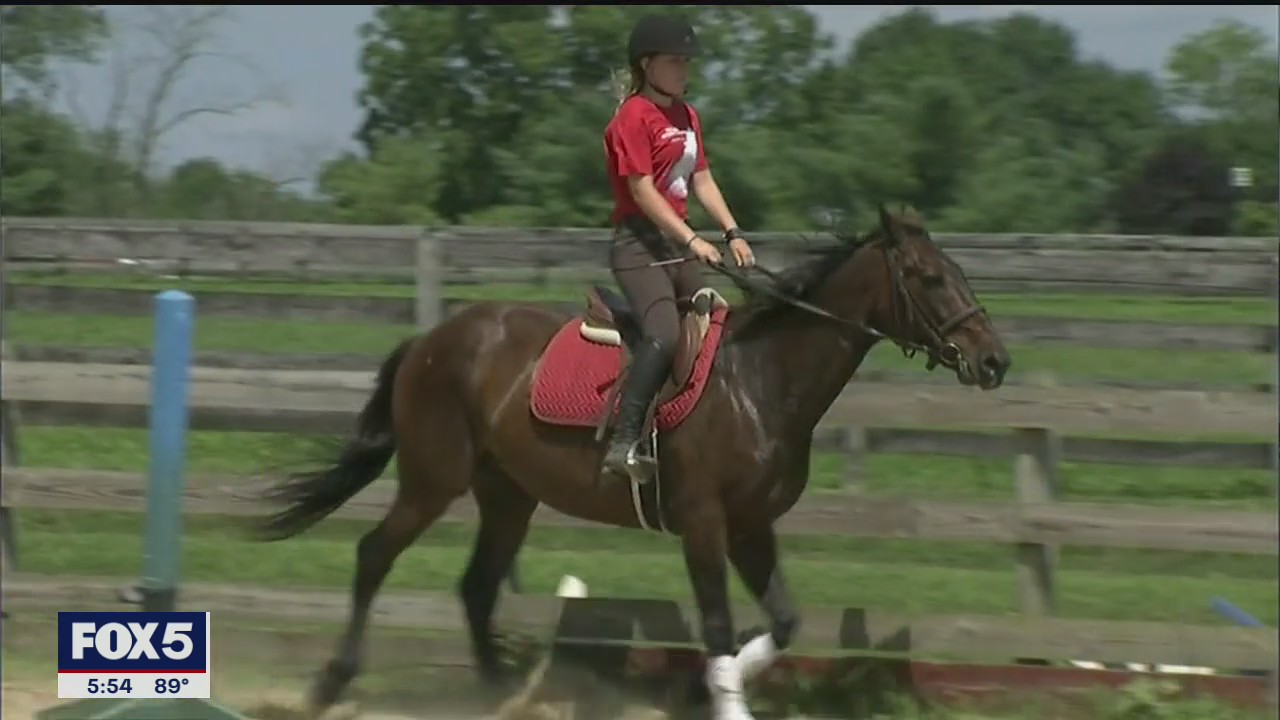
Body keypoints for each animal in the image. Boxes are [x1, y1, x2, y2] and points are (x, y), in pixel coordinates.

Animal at [257, 204, 1011, 720]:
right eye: (927, 278)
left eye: (957, 272)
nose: (994, 361)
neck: (761, 382)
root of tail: (431, 340)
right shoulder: (705, 523)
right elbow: (717, 625)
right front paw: (720, 696)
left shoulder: (750, 527)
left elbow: (781, 623)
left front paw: (712, 685)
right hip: (432, 480)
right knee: (374, 555)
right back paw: (330, 682)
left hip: (507, 494)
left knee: (475, 587)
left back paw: (504, 695)